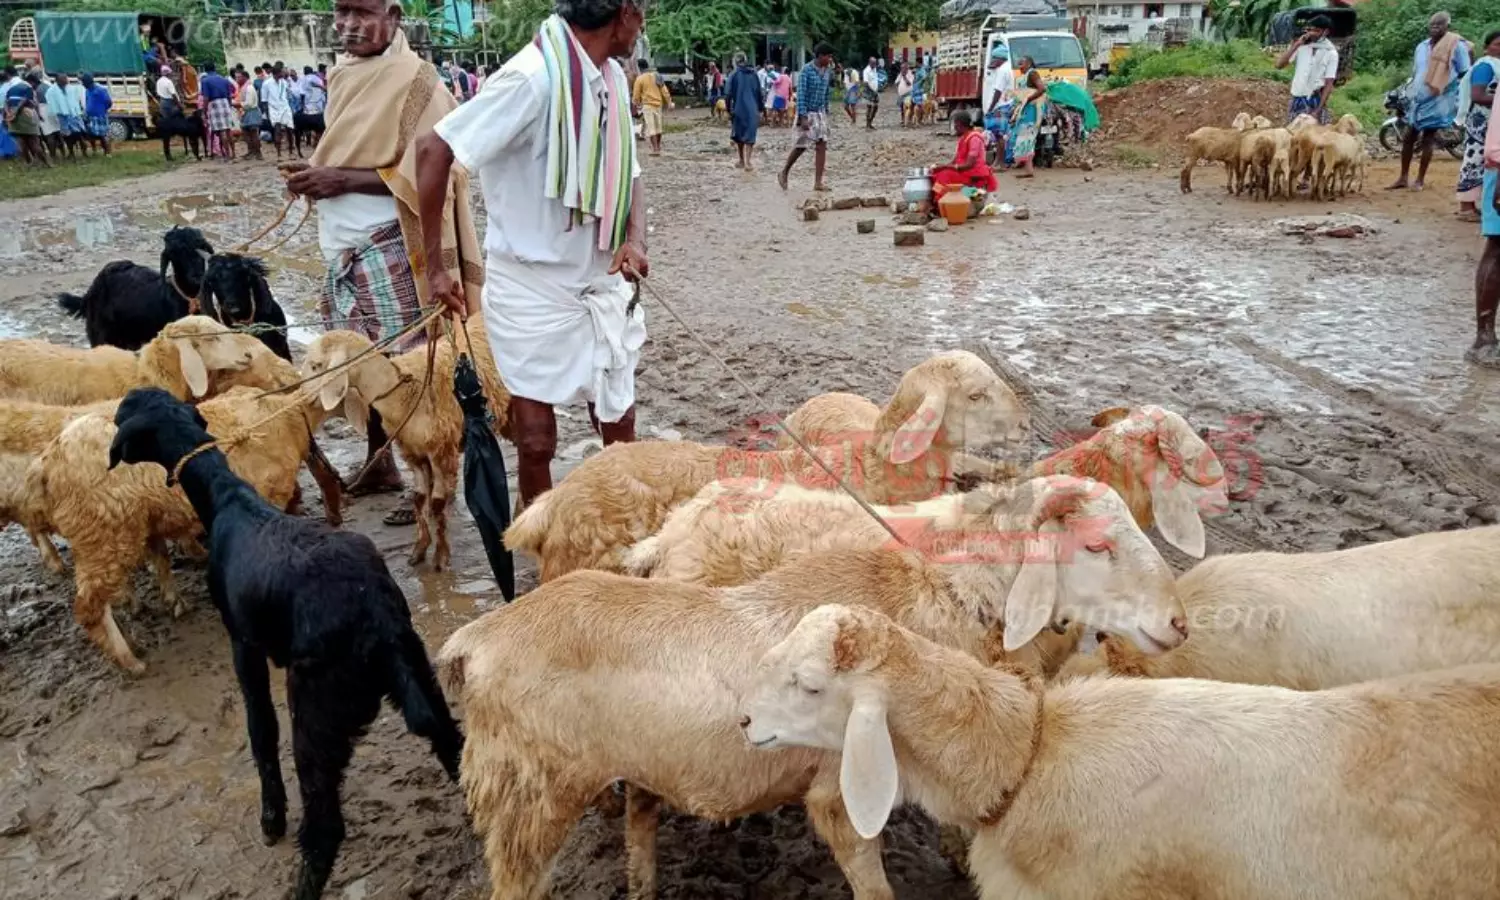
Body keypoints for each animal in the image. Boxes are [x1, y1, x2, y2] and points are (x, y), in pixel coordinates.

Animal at [107, 387, 463, 900]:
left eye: (124, 413)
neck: (228, 498)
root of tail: (375, 620)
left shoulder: (244, 646)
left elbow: (260, 730)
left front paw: (271, 816)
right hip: (421, 675)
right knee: (458, 752)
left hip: (314, 710)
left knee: (324, 827)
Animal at [303, 315, 510, 571]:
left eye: (316, 365)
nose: (302, 396)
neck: (401, 390)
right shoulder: (413, 452)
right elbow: (419, 498)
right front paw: (419, 550)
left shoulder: (441, 450)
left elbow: (437, 503)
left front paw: (440, 557)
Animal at [439, 475, 1185, 900]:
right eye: (1096, 546)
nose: (1178, 623)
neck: (933, 596)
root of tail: (474, 641)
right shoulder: (837, 793)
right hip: (528, 798)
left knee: (640, 818)